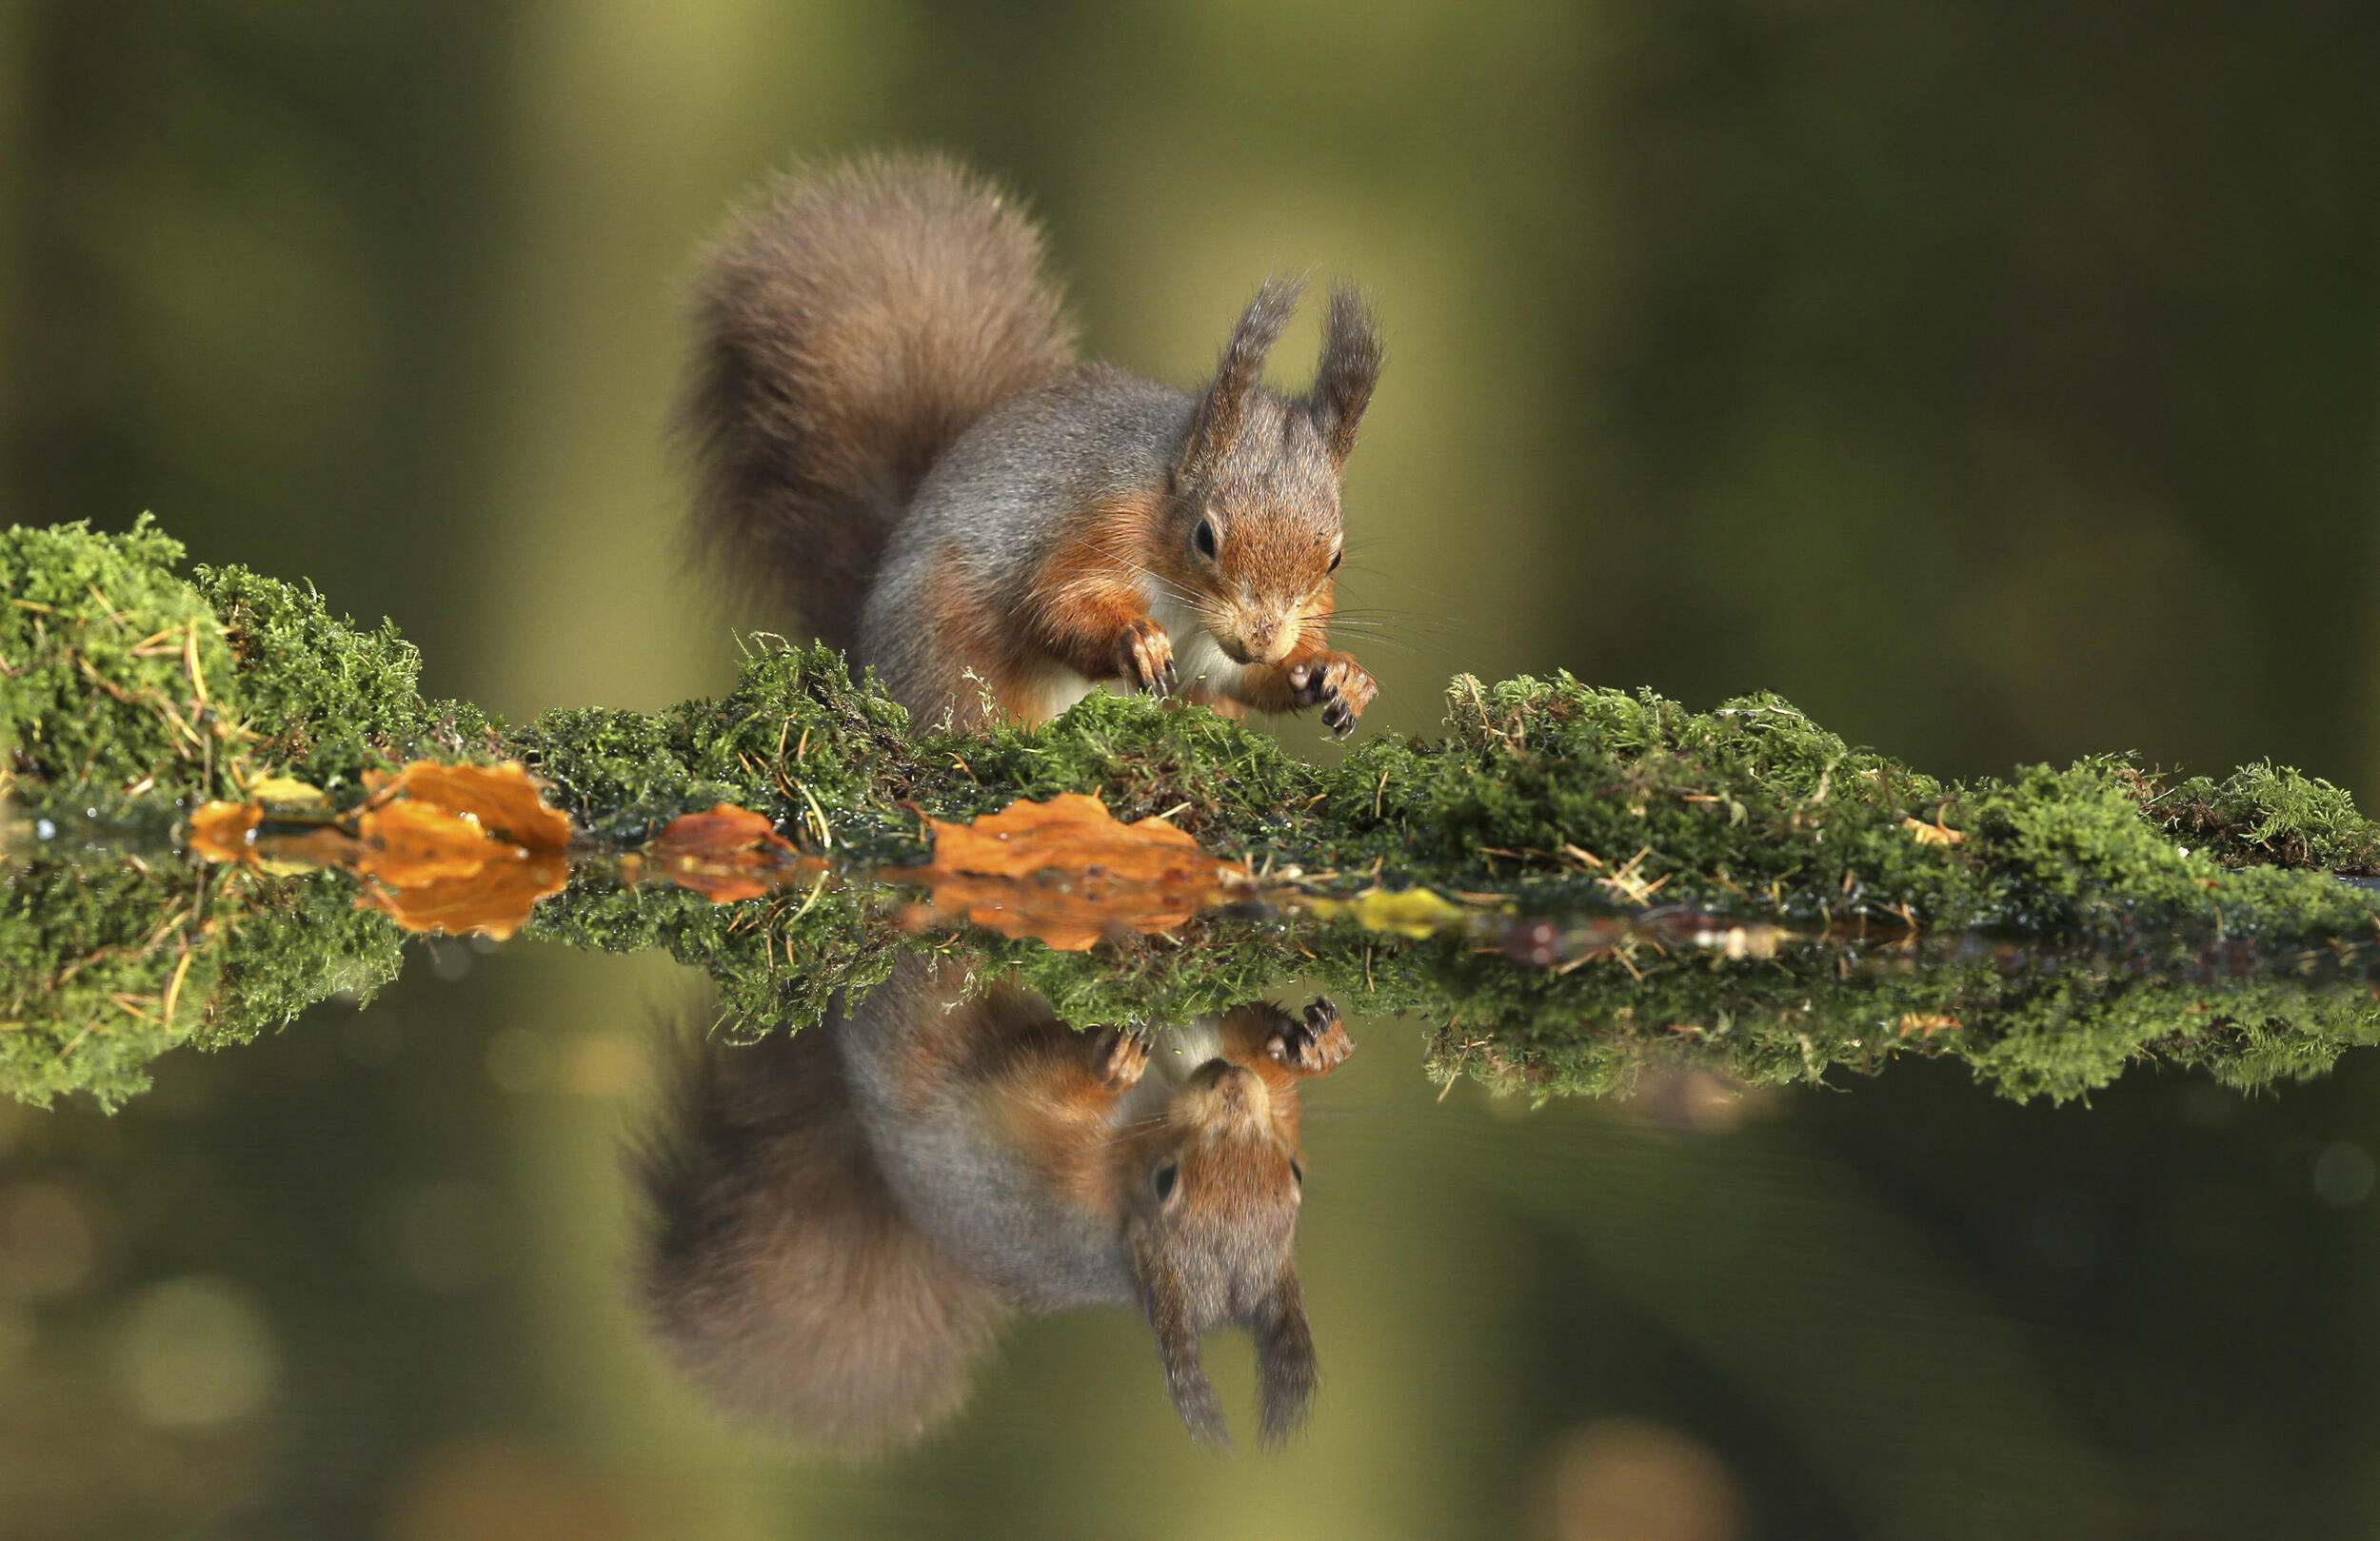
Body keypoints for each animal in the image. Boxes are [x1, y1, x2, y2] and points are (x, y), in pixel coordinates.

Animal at [681, 151, 1384, 736]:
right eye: (1205, 537)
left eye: (1335, 559)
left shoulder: (1232, 653)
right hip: (953, 658)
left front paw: (1338, 673)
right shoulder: (1097, 524)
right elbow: (1050, 603)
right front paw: (1134, 639)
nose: (1262, 638)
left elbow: (1249, 678)